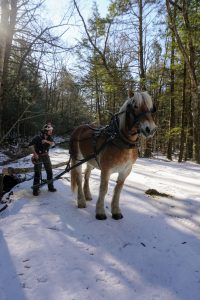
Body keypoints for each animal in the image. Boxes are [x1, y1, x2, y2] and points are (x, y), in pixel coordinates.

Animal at [69, 91, 156, 220]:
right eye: (135, 106)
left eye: (151, 108)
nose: (150, 129)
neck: (121, 140)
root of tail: (79, 128)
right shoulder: (106, 170)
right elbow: (103, 189)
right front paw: (100, 212)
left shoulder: (125, 171)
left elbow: (118, 190)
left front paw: (116, 211)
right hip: (77, 159)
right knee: (79, 177)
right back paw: (81, 201)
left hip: (90, 160)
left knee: (87, 175)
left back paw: (88, 195)